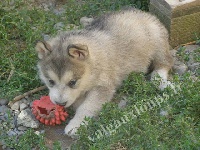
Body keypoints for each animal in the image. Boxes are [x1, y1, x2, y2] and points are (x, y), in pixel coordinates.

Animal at [35, 8, 173, 137]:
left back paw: (162, 83)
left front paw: (76, 124)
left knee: (163, 65)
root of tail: (144, 13)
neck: (92, 67)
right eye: (50, 81)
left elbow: (86, 106)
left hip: (158, 42)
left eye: (72, 82)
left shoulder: (103, 87)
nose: (60, 103)